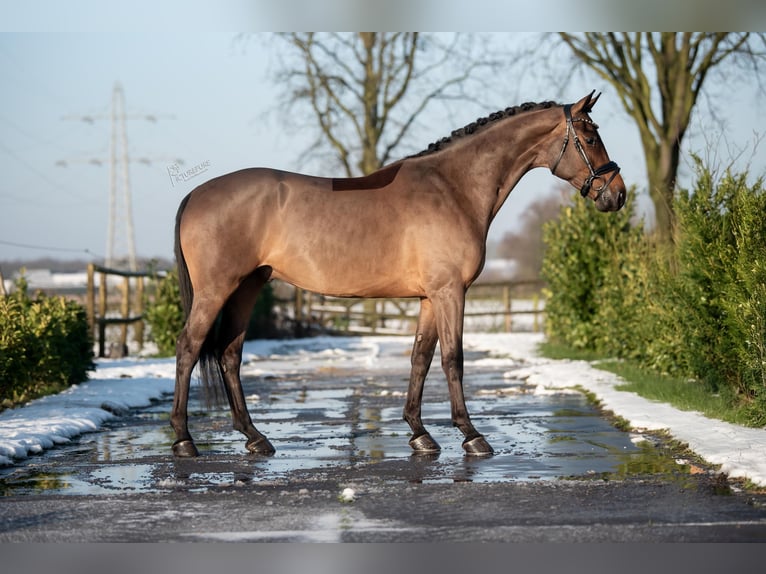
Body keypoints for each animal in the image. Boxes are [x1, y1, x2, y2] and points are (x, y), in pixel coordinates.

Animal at [171, 91, 628, 460]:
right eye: (590, 138)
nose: (617, 194)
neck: (454, 188)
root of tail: (196, 193)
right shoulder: (450, 292)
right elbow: (453, 359)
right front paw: (472, 435)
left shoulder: (430, 297)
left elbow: (420, 358)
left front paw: (420, 434)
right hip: (216, 290)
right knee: (189, 348)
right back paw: (184, 440)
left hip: (247, 287)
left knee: (229, 354)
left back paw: (255, 437)